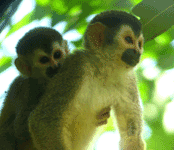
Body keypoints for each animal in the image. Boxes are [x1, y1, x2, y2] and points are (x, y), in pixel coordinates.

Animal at [28, 9, 145, 149]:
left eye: (139, 44)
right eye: (128, 39)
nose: (138, 53)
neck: (103, 71)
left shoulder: (129, 80)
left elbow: (131, 135)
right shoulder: (78, 66)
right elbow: (44, 123)